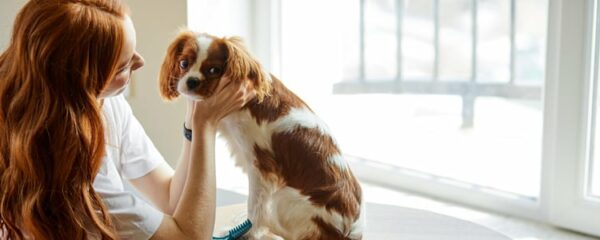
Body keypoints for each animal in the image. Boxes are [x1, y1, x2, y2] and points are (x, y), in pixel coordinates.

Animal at [159, 31, 364, 240]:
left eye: (214, 70)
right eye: (184, 63)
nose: (191, 81)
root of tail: (351, 229)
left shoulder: (260, 167)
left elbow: (255, 207)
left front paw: (248, 233)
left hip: (285, 198)